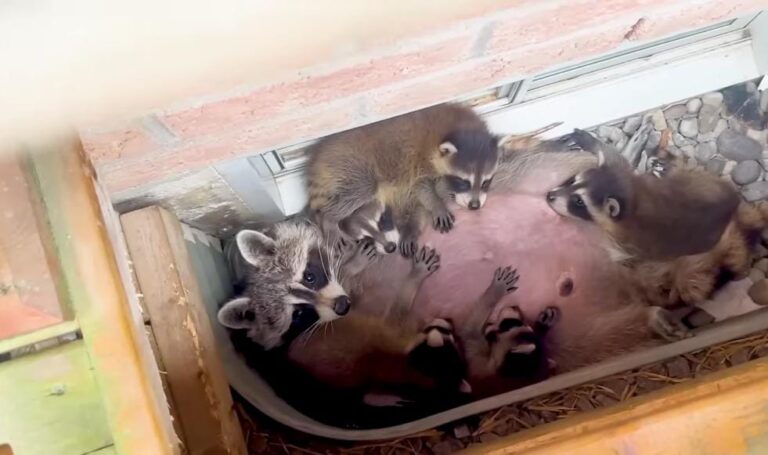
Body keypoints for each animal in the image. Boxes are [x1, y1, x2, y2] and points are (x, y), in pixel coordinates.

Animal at [306, 103, 501, 256]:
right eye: (463, 181)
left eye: (486, 181)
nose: (475, 206)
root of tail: (318, 160)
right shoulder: (417, 163)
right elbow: (421, 187)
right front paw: (437, 205)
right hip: (352, 165)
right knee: (361, 189)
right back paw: (329, 218)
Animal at [545, 129, 740, 262]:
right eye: (573, 180)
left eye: (578, 202)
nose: (550, 196)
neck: (631, 203)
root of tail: (733, 202)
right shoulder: (624, 178)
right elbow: (616, 158)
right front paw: (591, 141)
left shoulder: (625, 240)